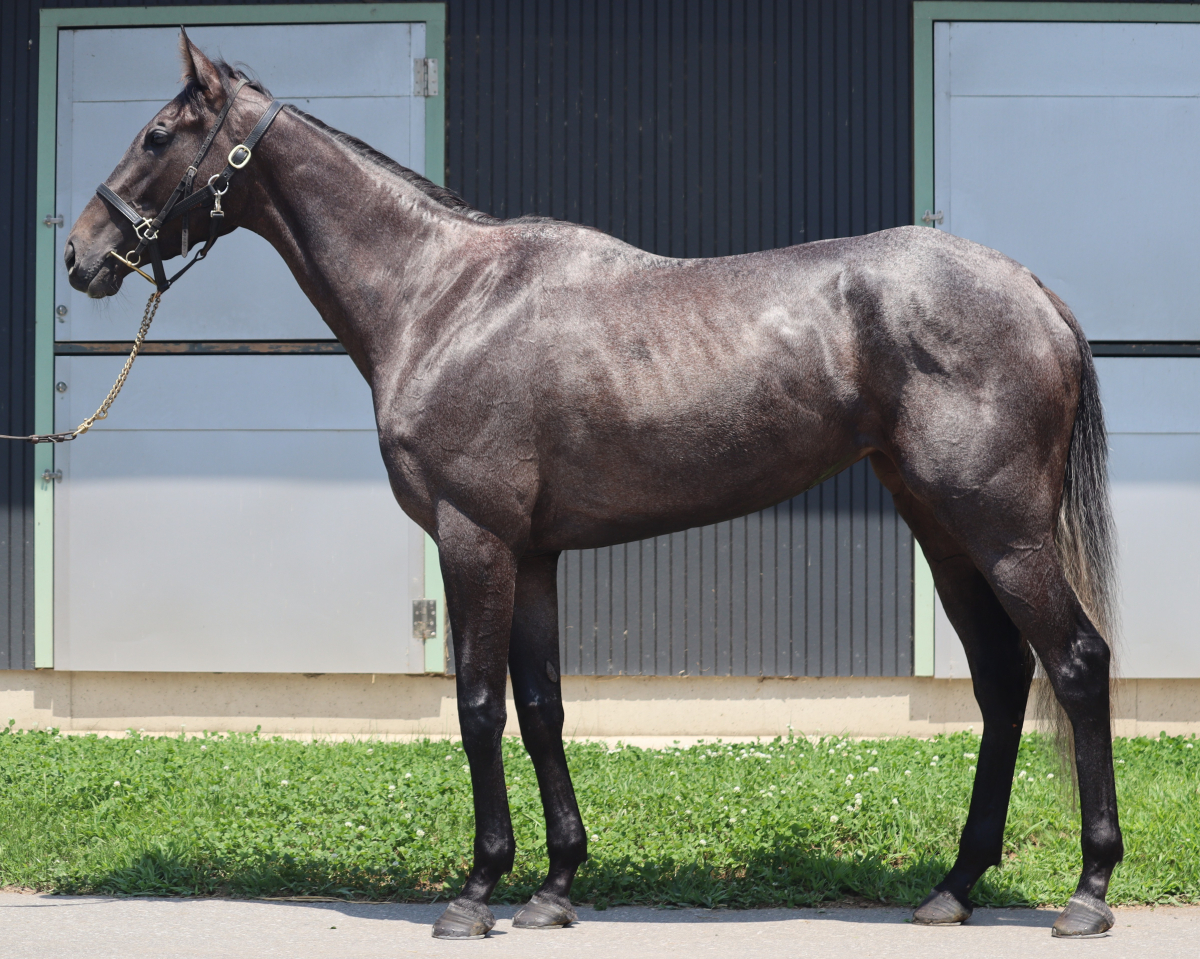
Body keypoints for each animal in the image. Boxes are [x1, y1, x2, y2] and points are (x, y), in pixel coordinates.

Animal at [64, 33, 1122, 939]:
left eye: (156, 135)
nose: (80, 252)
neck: (442, 298)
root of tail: (1035, 292)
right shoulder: (532, 554)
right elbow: (542, 707)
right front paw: (555, 885)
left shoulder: (474, 539)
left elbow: (477, 706)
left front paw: (477, 891)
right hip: (944, 530)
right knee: (1001, 680)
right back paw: (955, 886)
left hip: (1003, 532)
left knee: (1074, 663)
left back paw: (1088, 889)